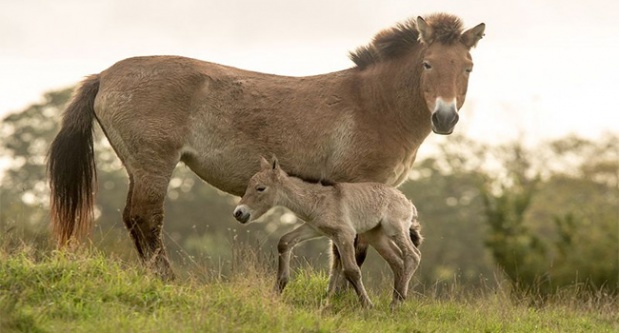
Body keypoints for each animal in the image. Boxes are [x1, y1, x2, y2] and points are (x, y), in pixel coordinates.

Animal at [48, 13, 484, 278]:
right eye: (427, 63)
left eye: (467, 67)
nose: (445, 117)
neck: (372, 103)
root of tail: (105, 75)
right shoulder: (359, 188)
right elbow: (351, 252)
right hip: (153, 165)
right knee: (146, 220)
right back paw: (169, 281)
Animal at [232, 157, 422, 308]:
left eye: (260, 188)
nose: (239, 213)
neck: (319, 200)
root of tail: (408, 201)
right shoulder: (314, 228)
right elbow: (285, 241)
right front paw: (279, 288)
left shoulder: (345, 235)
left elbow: (352, 270)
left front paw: (367, 305)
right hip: (376, 235)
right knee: (397, 260)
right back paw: (395, 301)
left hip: (395, 228)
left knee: (412, 255)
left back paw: (397, 301)